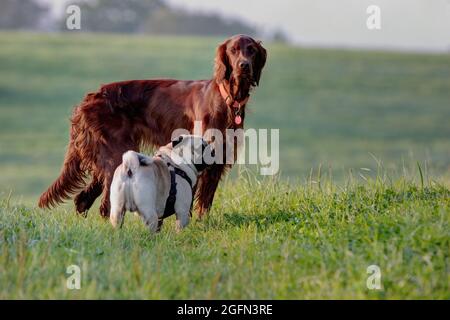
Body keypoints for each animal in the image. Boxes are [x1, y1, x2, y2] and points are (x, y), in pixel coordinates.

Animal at [38, 35, 268, 218]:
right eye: (233, 50)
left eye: (251, 50)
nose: (244, 66)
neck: (227, 98)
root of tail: (88, 100)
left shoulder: (218, 158)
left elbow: (205, 202)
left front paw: (202, 224)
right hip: (115, 155)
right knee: (105, 204)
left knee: (85, 197)